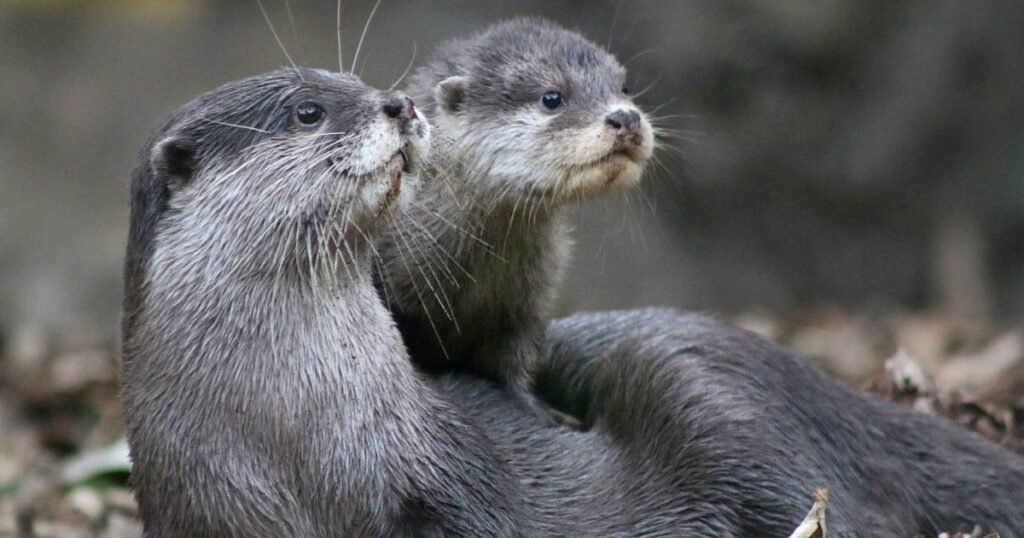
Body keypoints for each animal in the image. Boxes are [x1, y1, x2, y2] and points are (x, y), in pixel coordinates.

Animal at [373, 18, 654, 419]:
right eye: (552, 97)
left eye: (624, 88)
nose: (626, 118)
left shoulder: (527, 305)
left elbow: (517, 357)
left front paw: (543, 409)